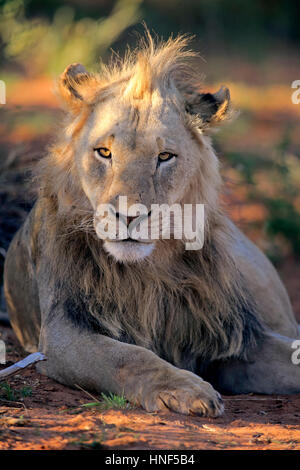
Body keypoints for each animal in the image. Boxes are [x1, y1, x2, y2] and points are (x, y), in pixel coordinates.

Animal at [2, 33, 300, 416]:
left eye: (164, 157)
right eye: (104, 152)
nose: (129, 216)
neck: (149, 269)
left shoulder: (234, 336)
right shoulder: (61, 333)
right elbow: (127, 356)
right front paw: (186, 388)